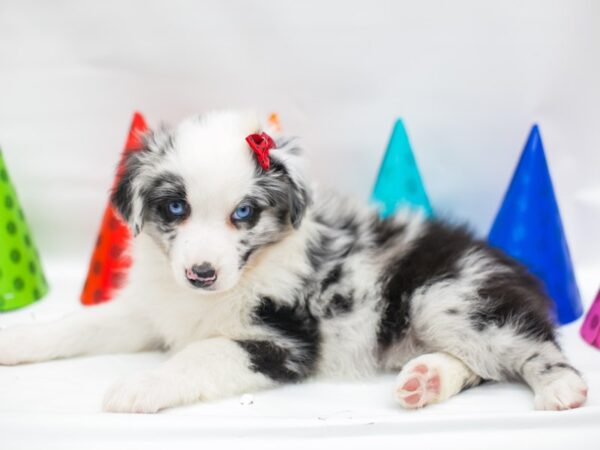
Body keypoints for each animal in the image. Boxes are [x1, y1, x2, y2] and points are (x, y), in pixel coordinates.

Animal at [0, 111, 588, 412]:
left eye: (244, 212)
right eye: (175, 208)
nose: (201, 274)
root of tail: (519, 268)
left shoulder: (284, 339)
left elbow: (204, 354)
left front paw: (141, 386)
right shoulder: (154, 308)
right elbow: (85, 323)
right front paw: (20, 338)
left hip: (446, 297)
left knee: (529, 346)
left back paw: (560, 388)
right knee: (479, 366)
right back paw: (426, 380)